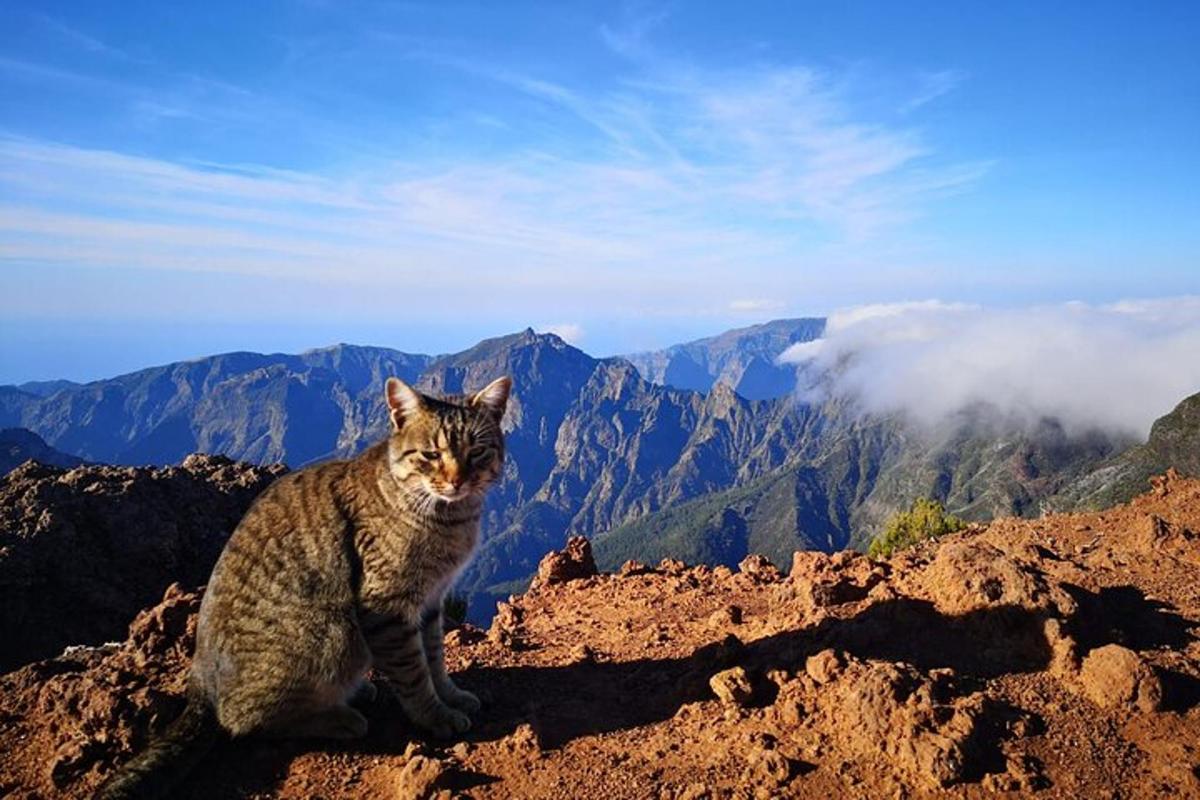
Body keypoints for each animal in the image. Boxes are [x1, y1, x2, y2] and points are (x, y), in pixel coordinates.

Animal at [99, 376, 511, 800]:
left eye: (477, 451)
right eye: (430, 454)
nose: (457, 480)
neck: (449, 518)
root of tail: (200, 688)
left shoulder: (431, 600)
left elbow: (435, 658)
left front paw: (450, 695)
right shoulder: (388, 605)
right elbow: (413, 671)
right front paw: (433, 715)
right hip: (332, 628)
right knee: (243, 721)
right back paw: (340, 717)